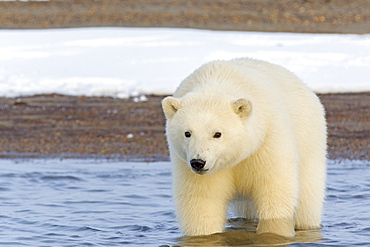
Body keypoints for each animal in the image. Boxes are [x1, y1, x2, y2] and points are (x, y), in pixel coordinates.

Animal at [162, 58, 326, 237]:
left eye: (217, 134)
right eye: (187, 133)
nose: (198, 162)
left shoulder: (267, 140)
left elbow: (276, 192)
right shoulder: (191, 168)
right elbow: (202, 204)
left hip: (308, 139)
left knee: (307, 200)